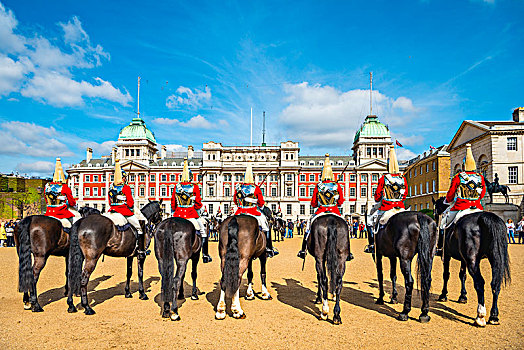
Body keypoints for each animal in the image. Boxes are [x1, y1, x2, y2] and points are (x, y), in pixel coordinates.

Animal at [432, 197, 510, 326]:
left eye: (435, 212)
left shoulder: (447, 255)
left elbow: (446, 275)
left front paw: (443, 295)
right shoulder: (463, 259)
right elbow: (462, 275)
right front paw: (463, 296)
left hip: (472, 261)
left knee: (479, 282)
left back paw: (480, 315)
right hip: (495, 259)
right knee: (495, 283)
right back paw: (494, 316)